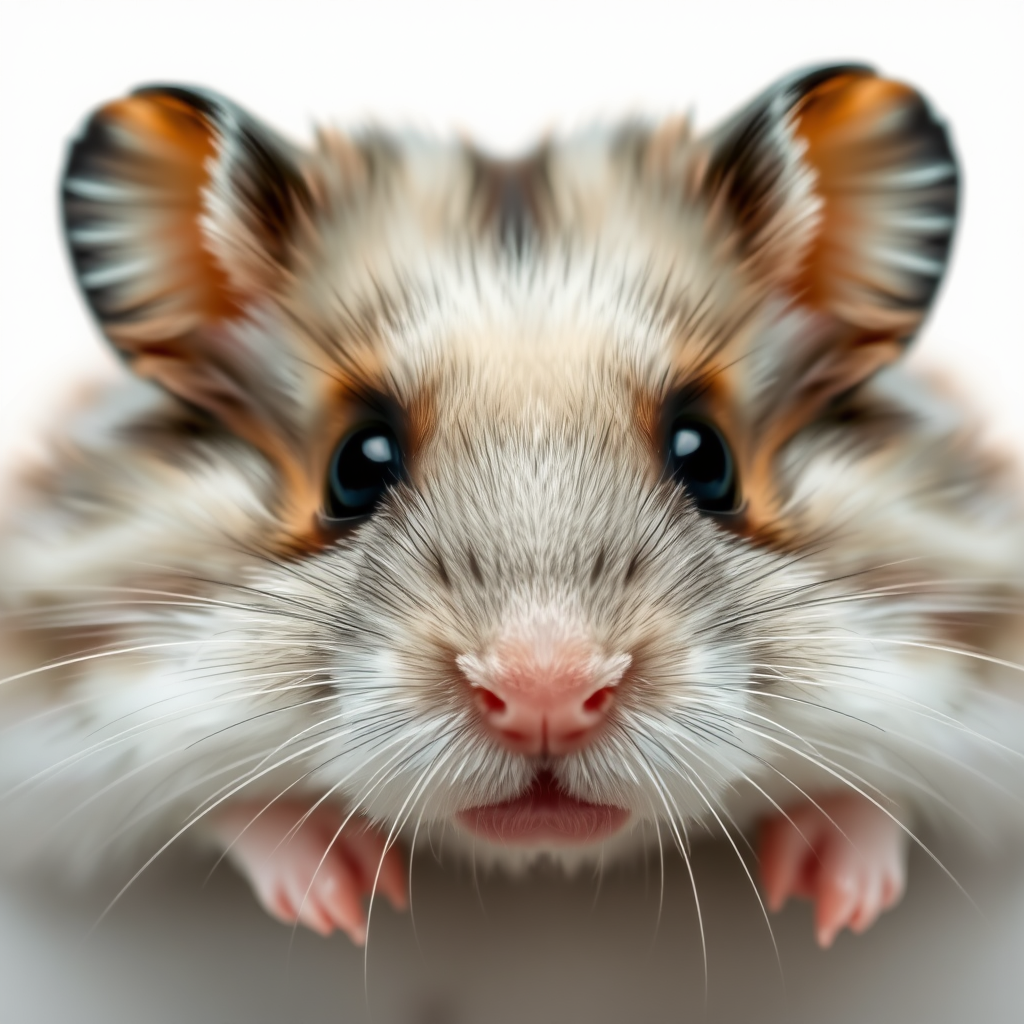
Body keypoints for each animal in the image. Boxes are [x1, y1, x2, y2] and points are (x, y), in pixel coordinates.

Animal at [2, 63, 1024, 952]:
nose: (546, 696)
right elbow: (223, 802)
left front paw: (833, 903)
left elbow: (886, 790)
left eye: (708, 457)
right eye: (356, 465)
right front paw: (347, 900)